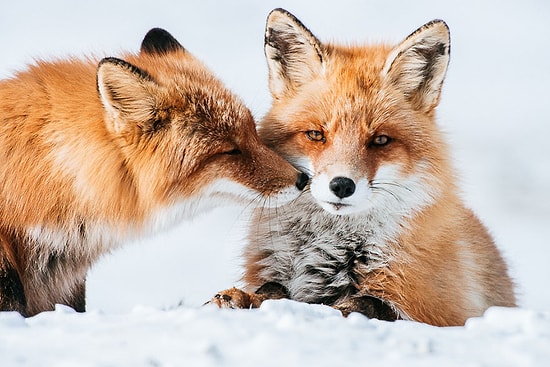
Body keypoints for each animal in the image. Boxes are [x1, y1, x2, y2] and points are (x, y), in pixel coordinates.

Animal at [210, 8, 516, 326]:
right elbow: (272, 288)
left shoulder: (443, 311)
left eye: (380, 140)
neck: (328, 245)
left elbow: (367, 304)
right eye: (316, 134)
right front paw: (246, 298)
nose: (342, 185)